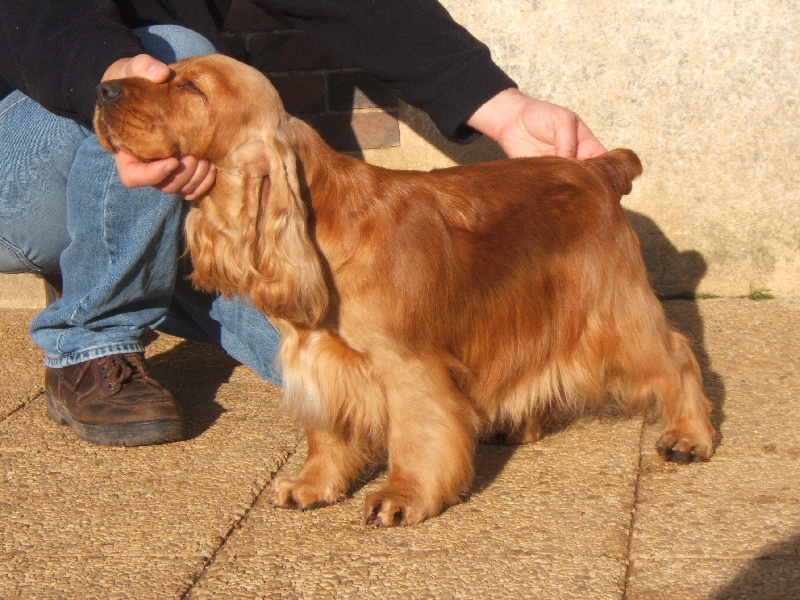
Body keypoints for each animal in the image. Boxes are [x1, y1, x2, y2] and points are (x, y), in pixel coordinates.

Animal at [97, 55, 716, 524]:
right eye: (164, 73)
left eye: (190, 87)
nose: (102, 88)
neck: (326, 222)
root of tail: (600, 170)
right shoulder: (319, 358)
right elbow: (327, 432)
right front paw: (312, 485)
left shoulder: (405, 365)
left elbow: (417, 433)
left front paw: (401, 497)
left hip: (616, 310)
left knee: (678, 356)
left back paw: (690, 435)